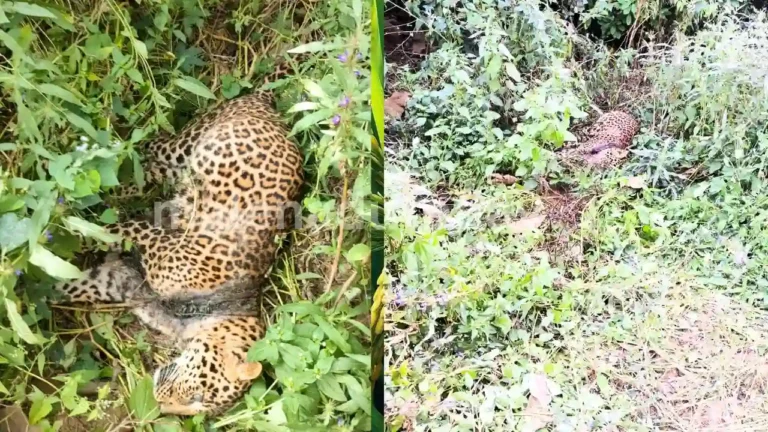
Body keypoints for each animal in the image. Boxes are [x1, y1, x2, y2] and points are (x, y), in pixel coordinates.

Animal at [48, 55, 305, 416]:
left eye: (199, 407)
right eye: (200, 391)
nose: (161, 405)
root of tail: (271, 107)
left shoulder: (120, 281)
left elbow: (69, 282)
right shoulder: (162, 245)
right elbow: (113, 230)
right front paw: (59, 232)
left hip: (177, 169)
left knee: (150, 170)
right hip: (188, 142)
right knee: (151, 143)